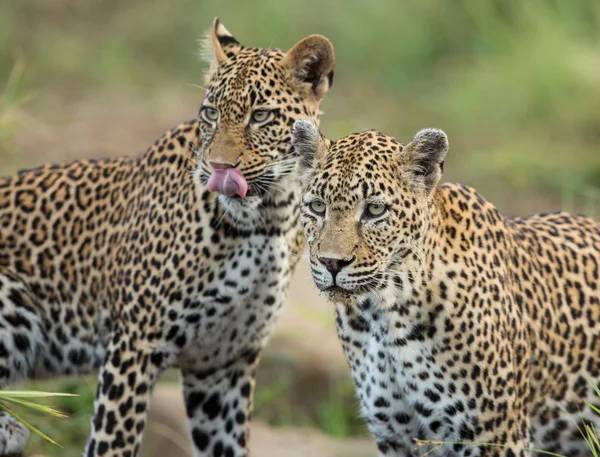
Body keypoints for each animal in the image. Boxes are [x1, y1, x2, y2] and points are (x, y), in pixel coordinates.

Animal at [0, 17, 332, 456]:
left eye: (261, 116)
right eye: (210, 113)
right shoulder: (136, 344)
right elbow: (112, 442)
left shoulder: (222, 365)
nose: (218, 168)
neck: (266, 221)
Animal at [292, 121, 600, 456]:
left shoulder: (497, 437)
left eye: (374, 210)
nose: (332, 263)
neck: (384, 312)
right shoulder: (394, 435)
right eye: (317, 207)